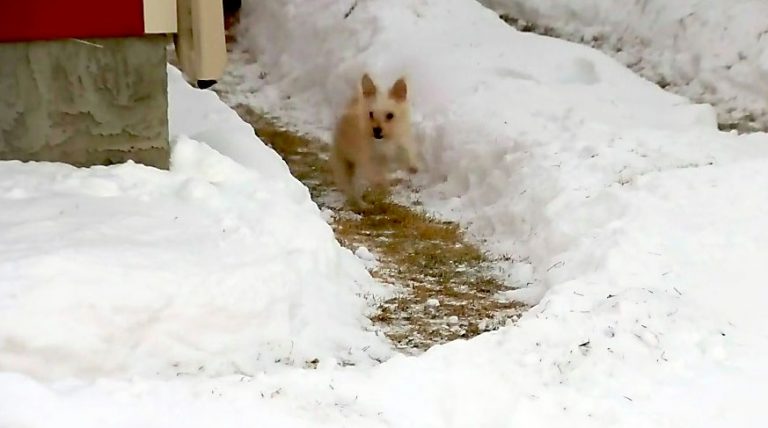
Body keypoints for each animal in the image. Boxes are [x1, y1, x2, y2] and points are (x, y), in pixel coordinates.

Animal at [330, 73, 424, 207]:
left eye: (390, 115)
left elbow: (406, 153)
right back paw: (361, 203)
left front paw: (413, 167)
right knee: (351, 187)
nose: (376, 130)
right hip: (345, 164)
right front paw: (381, 185)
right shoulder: (370, 159)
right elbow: (375, 174)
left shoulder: (401, 142)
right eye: (371, 114)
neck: (385, 141)